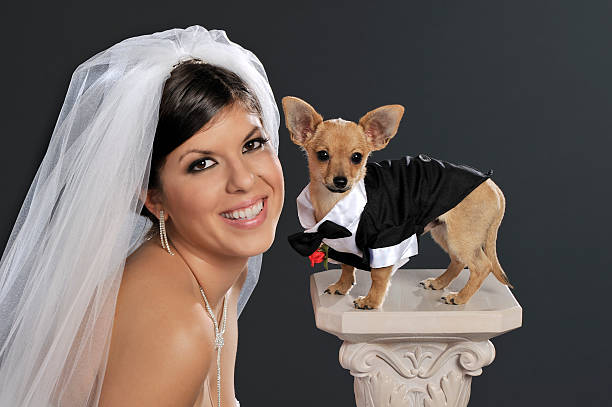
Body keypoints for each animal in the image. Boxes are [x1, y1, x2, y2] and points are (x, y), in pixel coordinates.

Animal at [282, 95, 512, 310]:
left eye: (357, 157)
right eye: (322, 155)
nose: (340, 181)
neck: (335, 201)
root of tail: (492, 185)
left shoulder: (386, 240)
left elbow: (378, 275)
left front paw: (371, 301)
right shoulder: (341, 242)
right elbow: (347, 266)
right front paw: (342, 286)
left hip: (462, 237)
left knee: (482, 266)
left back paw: (460, 297)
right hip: (445, 232)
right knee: (458, 261)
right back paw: (439, 283)